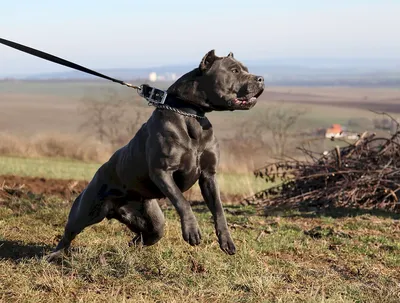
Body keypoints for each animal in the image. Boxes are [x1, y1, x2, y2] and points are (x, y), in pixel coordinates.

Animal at [47, 50, 264, 262]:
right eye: (234, 70)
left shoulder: (209, 175)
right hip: (85, 212)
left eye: (245, 69)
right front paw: (192, 230)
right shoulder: (163, 171)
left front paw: (226, 240)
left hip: (153, 223)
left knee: (140, 238)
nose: (261, 78)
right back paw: (54, 255)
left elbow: (218, 209)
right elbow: (182, 201)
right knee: (68, 234)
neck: (191, 114)